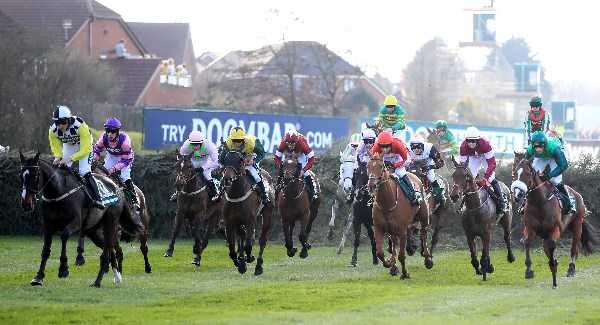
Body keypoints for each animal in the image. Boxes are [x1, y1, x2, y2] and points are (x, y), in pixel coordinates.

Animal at [19, 152, 139, 286]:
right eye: (20, 176)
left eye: (35, 176)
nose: (26, 204)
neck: (58, 192)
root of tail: (118, 188)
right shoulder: (48, 225)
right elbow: (45, 251)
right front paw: (38, 277)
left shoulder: (76, 222)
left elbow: (64, 235)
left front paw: (63, 269)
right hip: (94, 231)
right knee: (110, 249)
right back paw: (117, 276)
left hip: (110, 224)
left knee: (107, 251)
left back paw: (98, 281)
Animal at [508, 157, 596, 286]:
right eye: (514, 173)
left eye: (528, 173)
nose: (517, 195)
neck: (539, 202)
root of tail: (577, 194)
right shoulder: (530, 228)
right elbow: (527, 242)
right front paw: (529, 271)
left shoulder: (555, 228)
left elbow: (552, 244)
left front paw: (554, 265)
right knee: (546, 246)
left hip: (577, 225)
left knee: (574, 248)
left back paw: (571, 269)